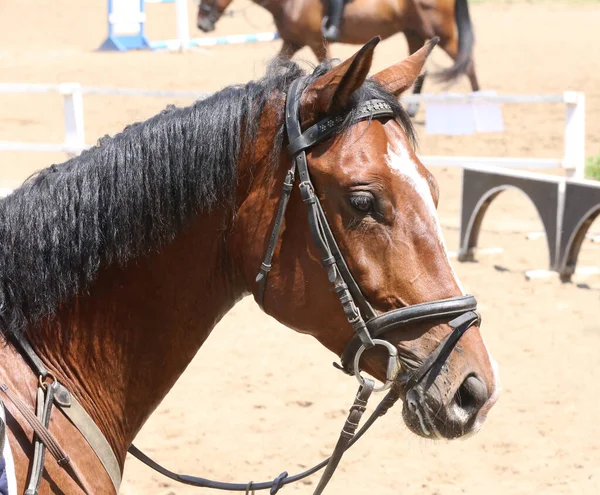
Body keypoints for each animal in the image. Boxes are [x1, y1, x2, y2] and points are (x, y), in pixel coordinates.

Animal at [198, 0, 482, 116]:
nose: (202, 24)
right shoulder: (292, 41)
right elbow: (280, 64)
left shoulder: (315, 41)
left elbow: (325, 66)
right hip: (413, 31)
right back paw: (411, 107)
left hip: (440, 32)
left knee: (466, 62)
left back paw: (481, 100)